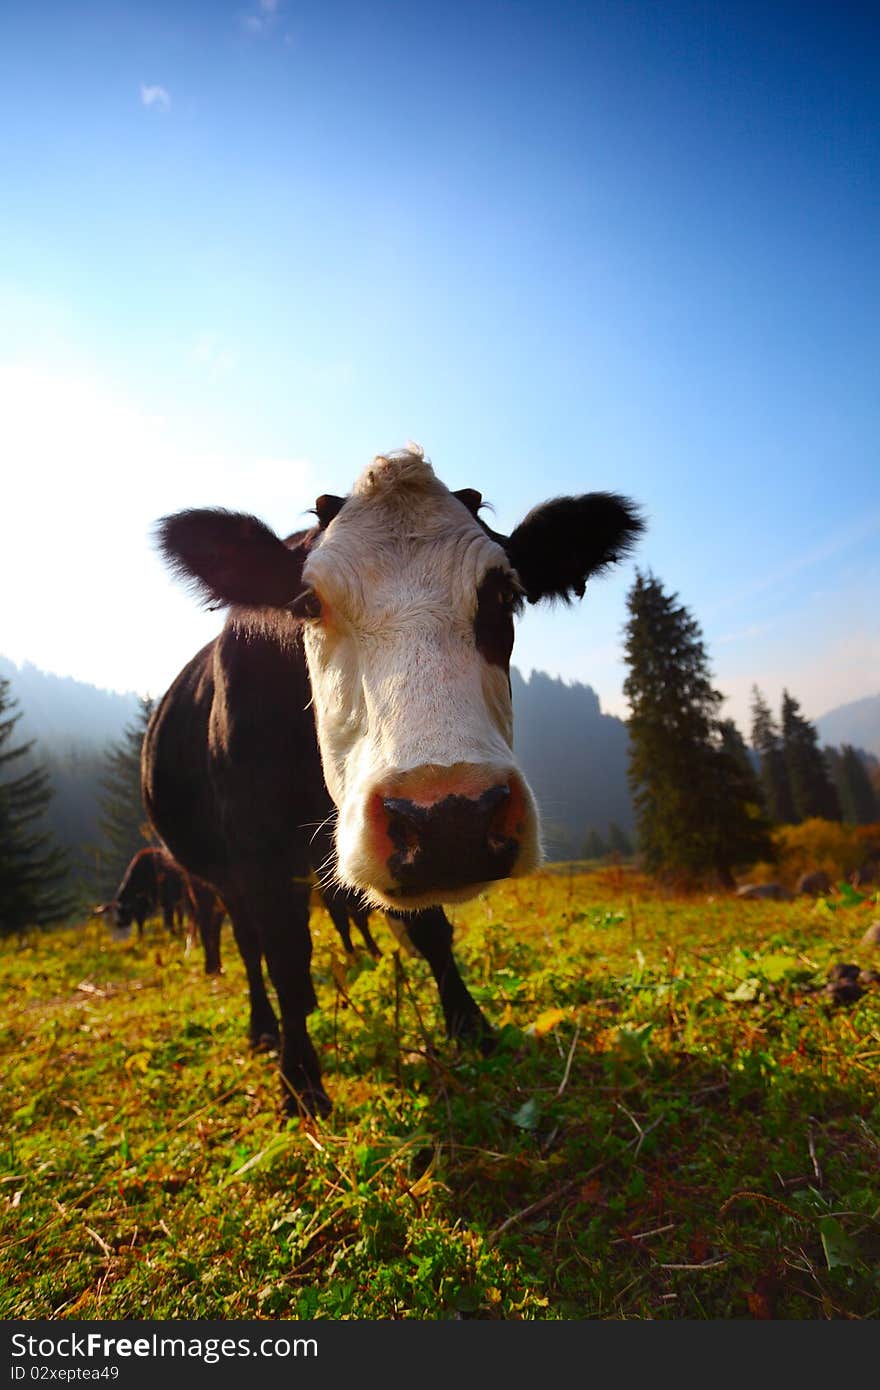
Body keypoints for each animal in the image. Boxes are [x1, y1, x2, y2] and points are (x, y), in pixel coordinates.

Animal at [142, 444, 639, 1117]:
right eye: (308, 603)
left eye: (504, 594)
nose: (453, 816)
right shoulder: (255, 851)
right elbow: (285, 952)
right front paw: (301, 1078)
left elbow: (430, 930)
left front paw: (472, 1027)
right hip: (211, 875)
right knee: (248, 941)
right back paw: (266, 1028)